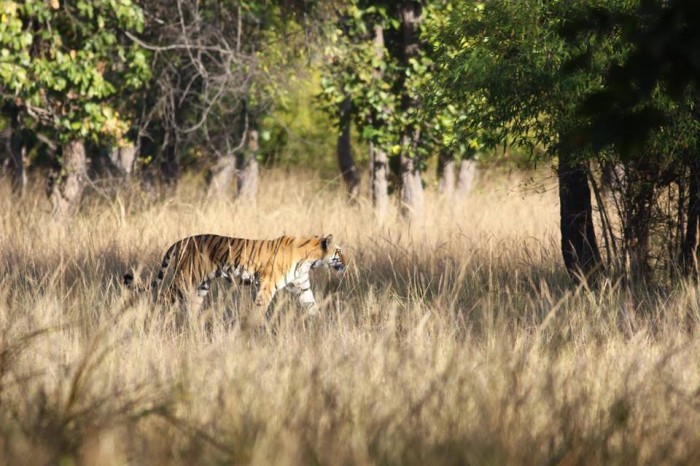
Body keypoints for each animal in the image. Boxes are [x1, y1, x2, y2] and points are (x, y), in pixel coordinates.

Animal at [125, 233, 348, 316]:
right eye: (339, 252)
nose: (347, 264)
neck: (310, 260)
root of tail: (182, 240)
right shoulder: (266, 286)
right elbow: (259, 310)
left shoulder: (302, 286)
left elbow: (312, 306)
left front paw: (320, 327)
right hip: (185, 279)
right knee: (162, 298)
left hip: (201, 286)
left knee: (192, 307)